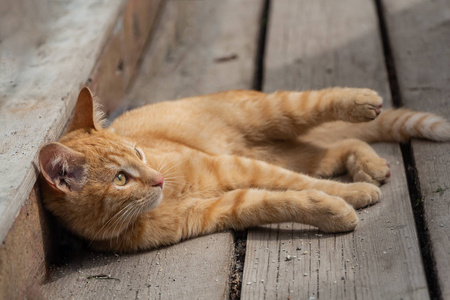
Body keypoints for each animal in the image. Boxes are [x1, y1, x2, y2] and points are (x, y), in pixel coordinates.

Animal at [39, 87, 450, 253]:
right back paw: (370, 165)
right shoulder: (224, 208)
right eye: (121, 179)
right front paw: (335, 210)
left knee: (321, 104)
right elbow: (281, 200)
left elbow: (293, 186)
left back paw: (363, 103)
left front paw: (351, 196)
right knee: (341, 146)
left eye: (139, 152)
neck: (167, 198)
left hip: (275, 114)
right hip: (291, 152)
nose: (157, 179)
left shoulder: (232, 167)